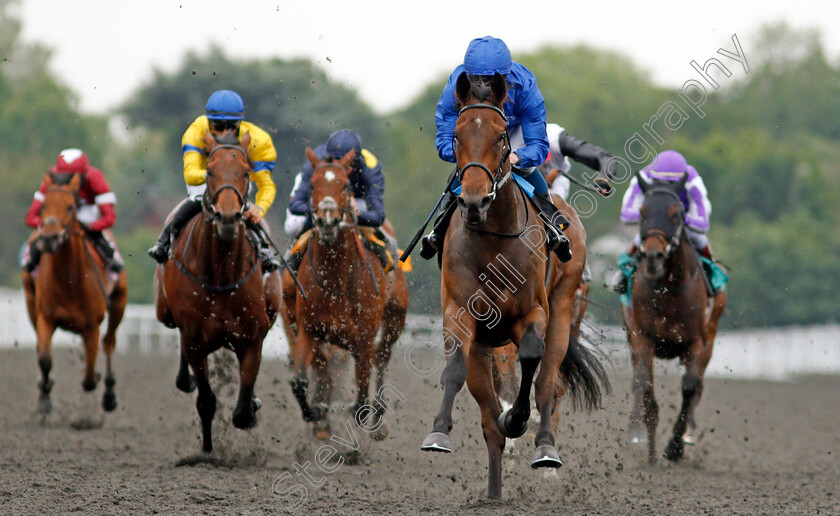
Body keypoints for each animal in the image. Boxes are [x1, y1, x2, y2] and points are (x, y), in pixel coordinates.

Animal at [21, 171, 128, 414]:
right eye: (43, 206)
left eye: (71, 206)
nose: (49, 238)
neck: (69, 281)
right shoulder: (46, 317)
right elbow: (44, 358)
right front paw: (45, 394)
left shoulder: (92, 326)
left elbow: (89, 377)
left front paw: (96, 378)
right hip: (30, 301)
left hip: (119, 302)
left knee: (109, 342)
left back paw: (109, 393)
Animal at [153, 132, 280, 452]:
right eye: (209, 171)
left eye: (246, 172)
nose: (228, 217)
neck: (221, 274)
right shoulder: (195, 340)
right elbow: (207, 401)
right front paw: (208, 451)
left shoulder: (252, 337)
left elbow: (243, 409)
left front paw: (252, 407)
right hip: (165, 312)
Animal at [284, 148, 408, 440]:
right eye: (313, 185)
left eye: (344, 186)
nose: (327, 221)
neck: (337, 280)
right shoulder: (309, 330)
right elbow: (300, 380)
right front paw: (314, 414)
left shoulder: (364, 338)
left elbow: (362, 392)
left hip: (394, 319)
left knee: (382, 358)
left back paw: (378, 418)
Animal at [420, 70, 612, 498]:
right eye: (456, 135)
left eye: (499, 136)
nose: (474, 199)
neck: (493, 240)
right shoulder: (460, 311)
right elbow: (455, 370)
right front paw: (438, 433)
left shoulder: (532, 312)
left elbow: (531, 358)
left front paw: (520, 421)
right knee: (488, 413)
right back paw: (494, 487)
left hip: (564, 308)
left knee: (549, 380)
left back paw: (544, 448)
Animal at [624, 171, 728, 462]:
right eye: (642, 211)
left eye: (675, 214)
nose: (652, 257)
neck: (668, 289)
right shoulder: (642, 337)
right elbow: (643, 383)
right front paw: (649, 444)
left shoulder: (696, 341)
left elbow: (690, 387)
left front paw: (674, 446)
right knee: (637, 381)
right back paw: (635, 429)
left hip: (710, 338)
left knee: (697, 383)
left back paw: (688, 432)